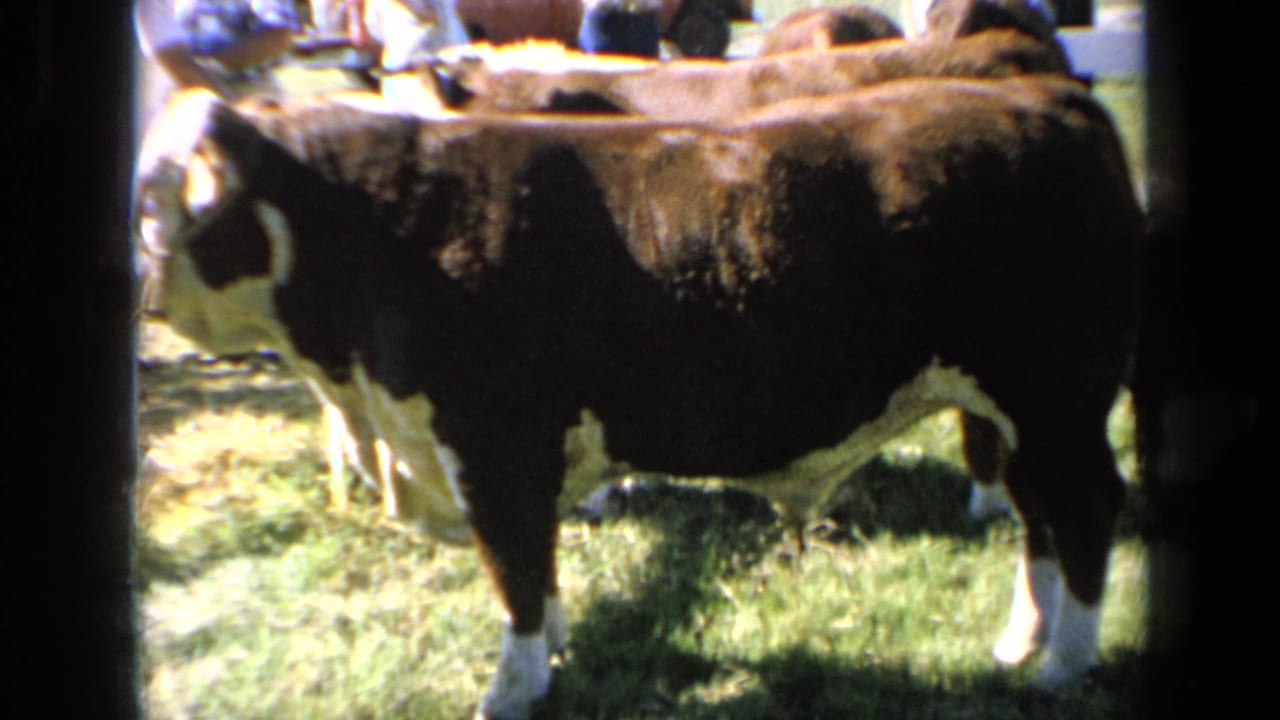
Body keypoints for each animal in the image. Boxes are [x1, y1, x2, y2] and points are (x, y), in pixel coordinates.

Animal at [133, 74, 1143, 718]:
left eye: (149, 202)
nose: (140, 296)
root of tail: (1045, 97)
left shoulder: (493, 445)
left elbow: (514, 572)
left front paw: (512, 690)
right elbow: (539, 567)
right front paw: (555, 656)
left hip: (1058, 398)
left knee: (1087, 510)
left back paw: (1063, 669)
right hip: (1020, 412)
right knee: (1038, 518)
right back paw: (1022, 645)